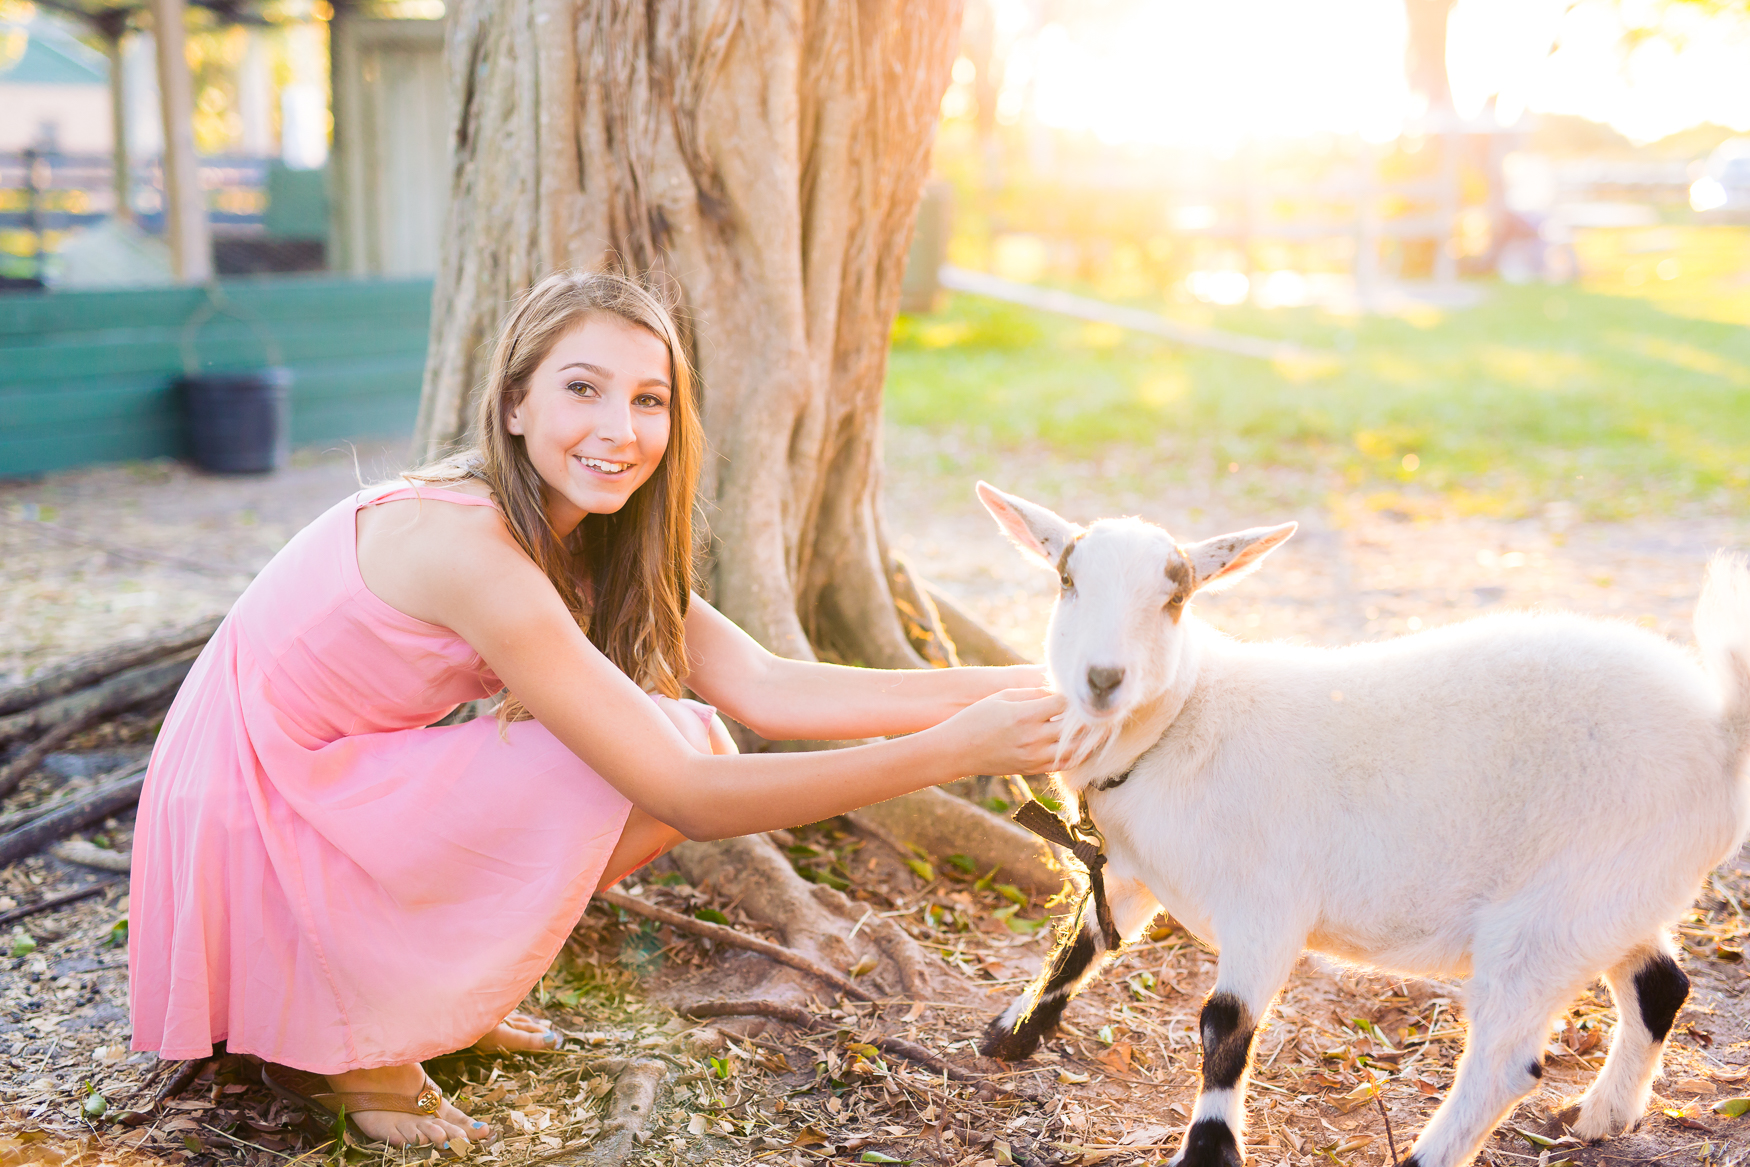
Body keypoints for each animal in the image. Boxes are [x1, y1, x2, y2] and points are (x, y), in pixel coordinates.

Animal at [980, 482, 1743, 1167]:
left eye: (1175, 599)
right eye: (1068, 581)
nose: (1103, 678)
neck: (1186, 720)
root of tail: (1721, 729)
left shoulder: (1268, 906)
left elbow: (1224, 1027)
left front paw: (1208, 1151)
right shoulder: (1133, 873)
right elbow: (1080, 946)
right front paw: (1010, 1035)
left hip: (1550, 917)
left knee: (1507, 1062)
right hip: (1615, 894)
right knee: (1662, 985)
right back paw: (1603, 1113)